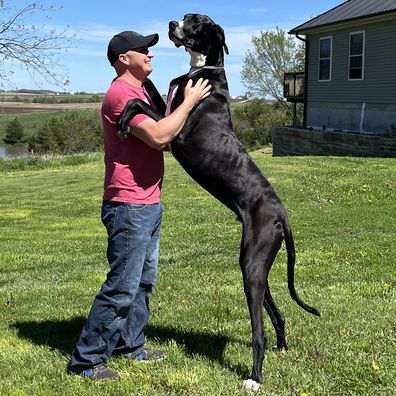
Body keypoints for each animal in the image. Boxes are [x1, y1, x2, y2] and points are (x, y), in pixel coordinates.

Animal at [116, 13, 320, 392]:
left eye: (196, 22)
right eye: (186, 17)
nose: (171, 23)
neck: (203, 70)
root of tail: (282, 214)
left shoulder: (176, 134)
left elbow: (139, 104)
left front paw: (123, 119)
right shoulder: (168, 111)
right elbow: (148, 94)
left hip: (252, 266)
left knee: (258, 332)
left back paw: (255, 378)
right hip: (254, 263)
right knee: (277, 312)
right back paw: (282, 346)